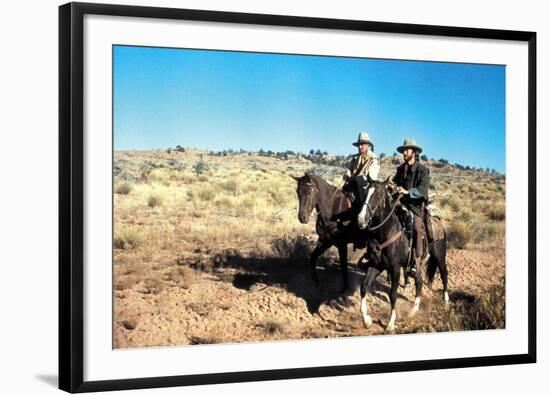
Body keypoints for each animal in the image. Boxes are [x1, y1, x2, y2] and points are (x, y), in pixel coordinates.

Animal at [360, 179, 450, 332]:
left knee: (444, 273)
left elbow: (393, 294)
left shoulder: (395, 268)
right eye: (364, 193)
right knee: (419, 281)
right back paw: (414, 310)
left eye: (378, 195)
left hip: (439, 256)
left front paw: (390, 323)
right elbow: (364, 286)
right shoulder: (375, 265)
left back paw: (446, 300)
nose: (361, 219)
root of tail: (438, 221)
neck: (385, 233)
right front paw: (366, 320)